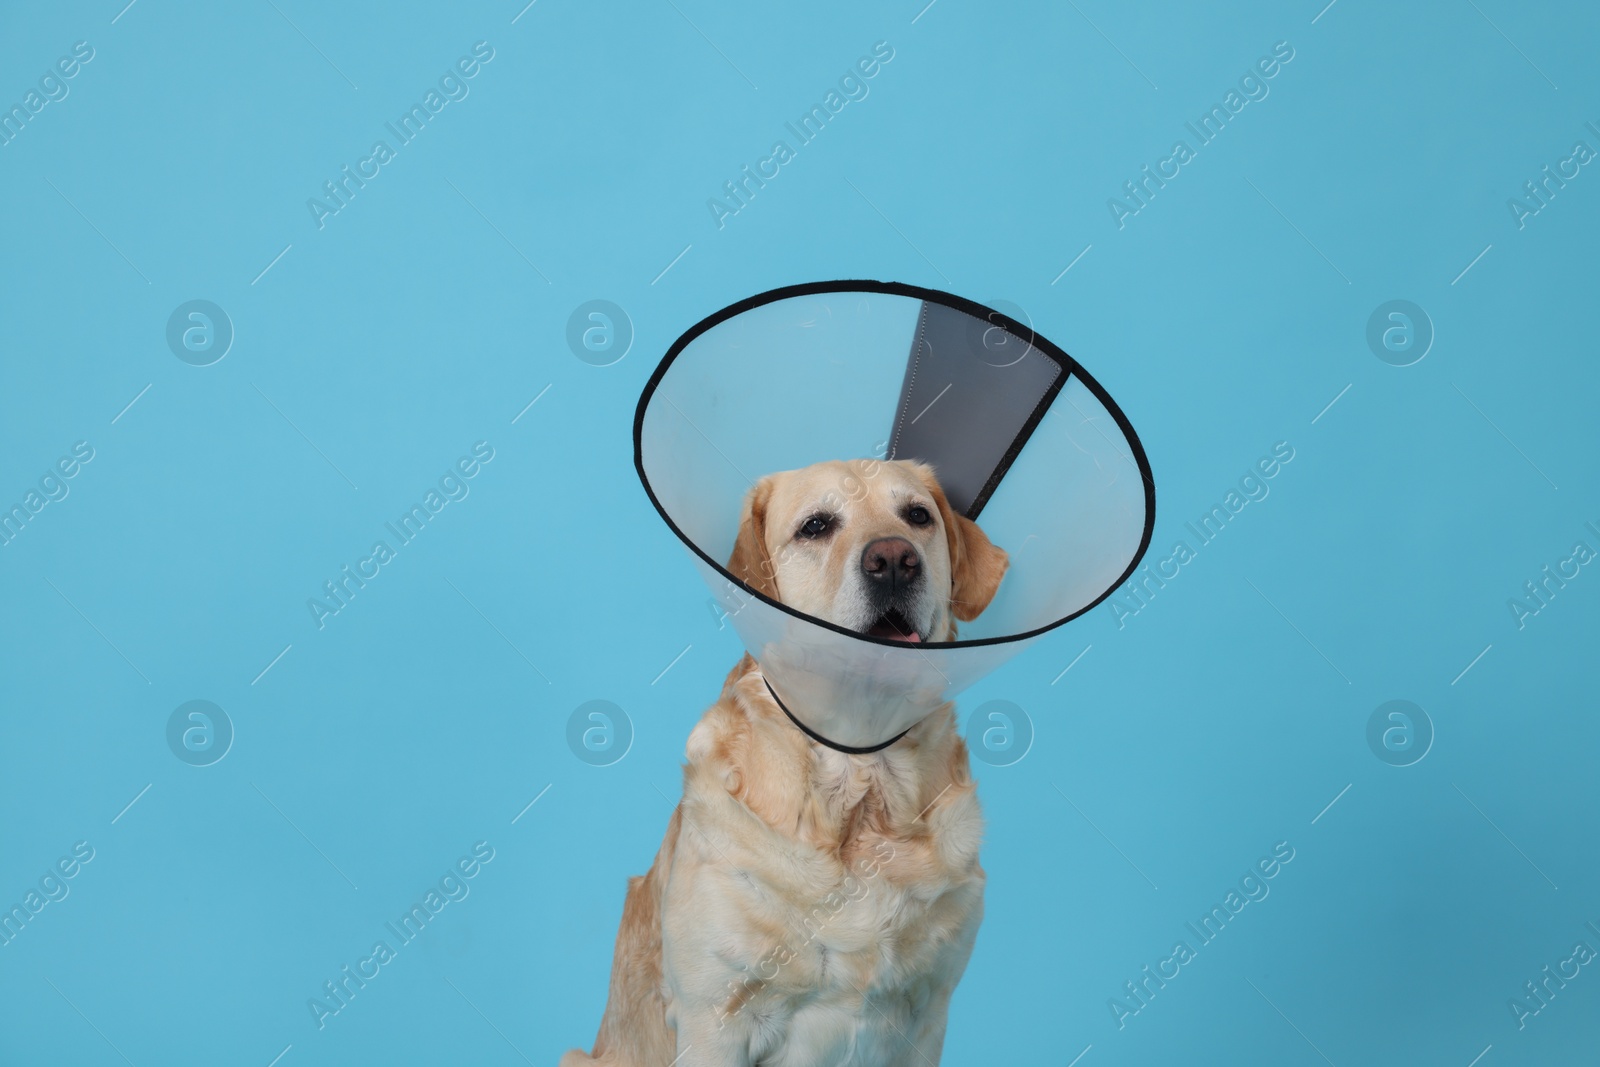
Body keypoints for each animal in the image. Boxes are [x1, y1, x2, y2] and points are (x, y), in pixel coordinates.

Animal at [563, 460, 1004, 1067]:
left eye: (918, 516)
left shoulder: (927, 1015)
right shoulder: (715, 1021)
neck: (861, 791)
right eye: (815, 526)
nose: (895, 559)